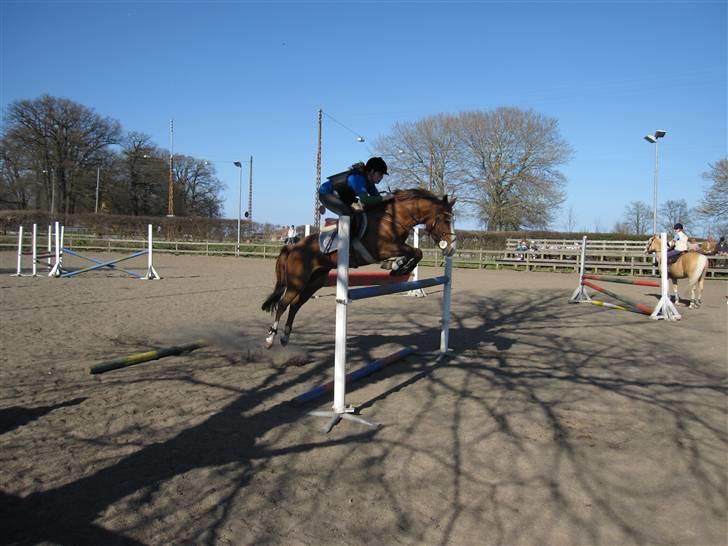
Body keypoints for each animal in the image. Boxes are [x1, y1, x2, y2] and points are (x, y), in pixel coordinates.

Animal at [261, 189, 457, 348]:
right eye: (446, 219)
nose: (452, 248)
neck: (394, 219)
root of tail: (293, 247)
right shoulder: (383, 248)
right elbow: (416, 251)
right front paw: (399, 267)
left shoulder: (394, 247)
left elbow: (416, 252)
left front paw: (397, 265)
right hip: (297, 282)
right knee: (283, 304)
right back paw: (270, 339)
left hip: (314, 282)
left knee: (295, 305)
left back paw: (285, 337)